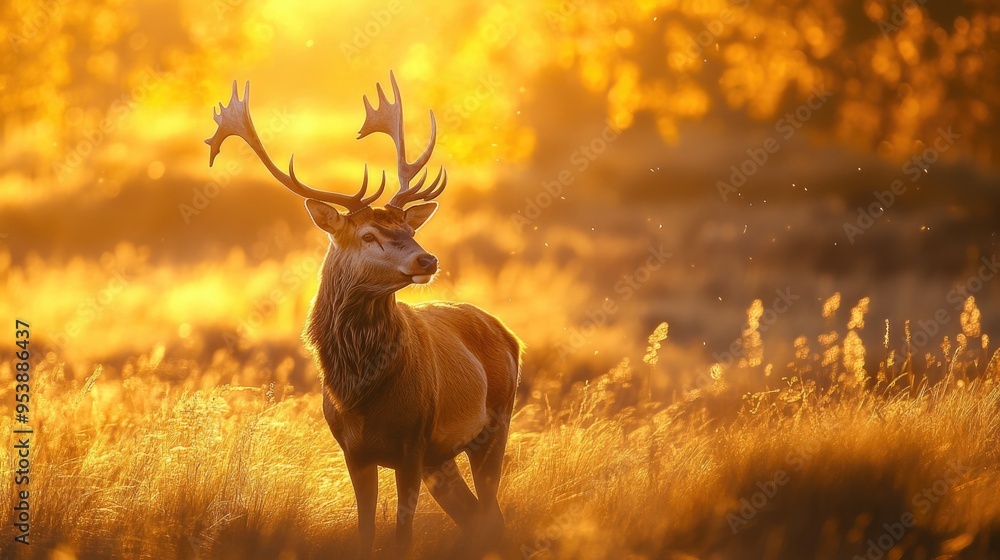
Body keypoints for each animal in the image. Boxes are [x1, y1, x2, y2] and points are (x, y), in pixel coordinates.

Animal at [205, 73, 522, 558]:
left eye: (409, 229)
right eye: (369, 234)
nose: (428, 259)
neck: (361, 394)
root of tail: (511, 336)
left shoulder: (413, 442)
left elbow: (402, 536)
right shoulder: (353, 450)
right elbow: (366, 532)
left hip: (496, 423)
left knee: (491, 516)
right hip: (443, 458)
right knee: (476, 516)